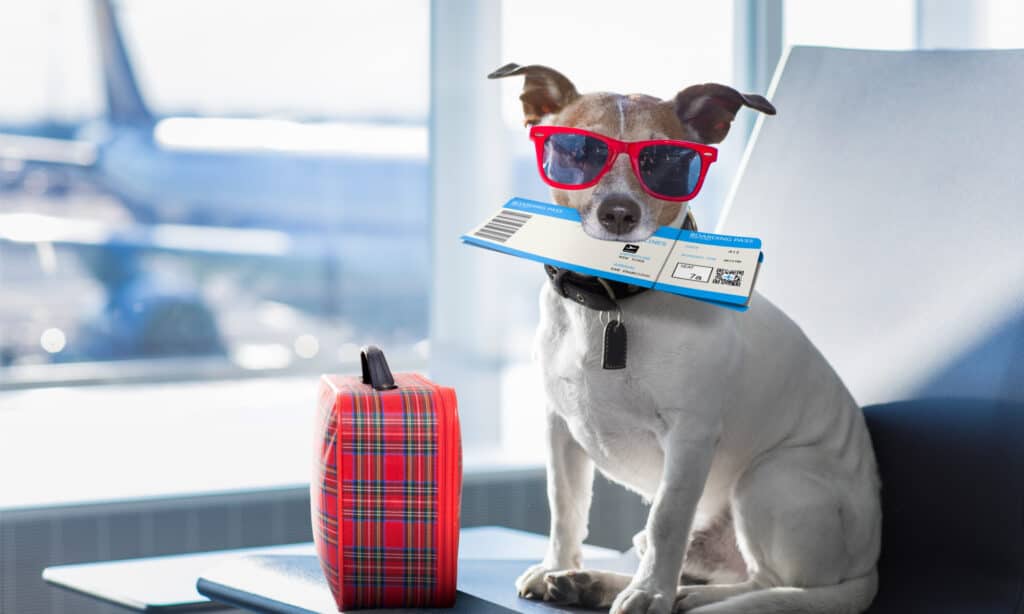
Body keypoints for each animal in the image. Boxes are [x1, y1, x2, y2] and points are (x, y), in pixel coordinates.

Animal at [487, 63, 880, 614]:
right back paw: (595, 582)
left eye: (668, 161)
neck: (611, 301)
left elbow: (667, 519)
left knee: (767, 584)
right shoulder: (559, 430)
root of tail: (869, 567)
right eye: (578, 151)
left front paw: (650, 593)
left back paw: (681, 596)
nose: (618, 212)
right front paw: (557, 566)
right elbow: (564, 507)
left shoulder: (689, 437)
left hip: (770, 478)